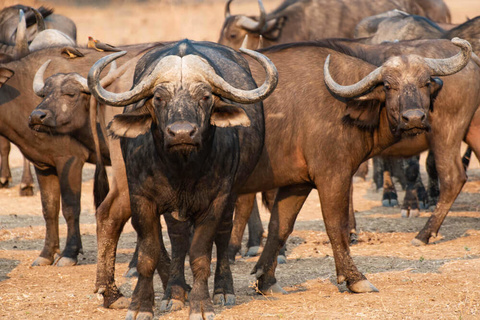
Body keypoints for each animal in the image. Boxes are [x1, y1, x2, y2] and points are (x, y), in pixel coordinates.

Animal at [88, 39, 280, 318]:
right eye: (158, 98)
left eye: (205, 96)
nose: (181, 133)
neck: (183, 169)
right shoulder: (142, 197)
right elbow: (149, 252)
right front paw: (141, 304)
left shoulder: (216, 200)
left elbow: (200, 253)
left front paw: (201, 304)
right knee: (167, 235)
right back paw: (162, 292)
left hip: (232, 191)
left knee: (223, 235)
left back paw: (222, 289)